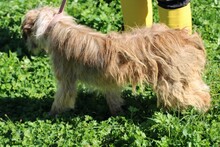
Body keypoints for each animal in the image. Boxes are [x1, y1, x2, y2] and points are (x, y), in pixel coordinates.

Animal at [21, 6, 211, 115]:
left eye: (26, 32)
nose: (26, 46)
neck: (56, 27)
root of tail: (186, 38)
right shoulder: (109, 80)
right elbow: (113, 96)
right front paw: (117, 111)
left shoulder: (66, 80)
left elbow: (62, 98)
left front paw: (52, 114)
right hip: (180, 78)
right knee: (201, 88)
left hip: (172, 82)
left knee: (199, 96)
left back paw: (200, 113)